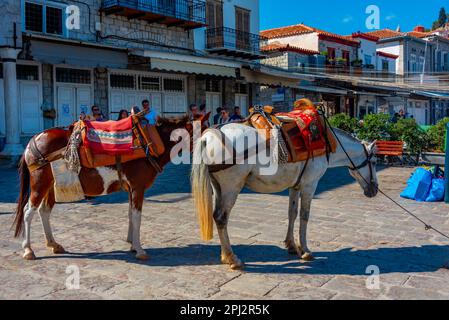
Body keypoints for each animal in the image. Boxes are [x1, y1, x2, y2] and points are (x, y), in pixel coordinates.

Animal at [13, 114, 209, 262]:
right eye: (205, 133)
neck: (149, 143)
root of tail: (32, 141)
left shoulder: (132, 189)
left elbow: (131, 215)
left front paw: (132, 244)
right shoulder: (138, 187)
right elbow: (137, 217)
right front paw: (139, 249)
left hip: (53, 186)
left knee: (44, 211)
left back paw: (53, 244)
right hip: (39, 183)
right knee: (28, 212)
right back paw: (28, 250)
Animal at [190, 122, 378, 270]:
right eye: (375, 162)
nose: (375, 189)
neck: (325, 142)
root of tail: (209, 136)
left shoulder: (295, 186)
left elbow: (292, 213)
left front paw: (292, 245)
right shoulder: (310, 185)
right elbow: (304, 216)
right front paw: (305, 250)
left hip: (218, 188)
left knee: (218, 218)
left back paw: (225, 255)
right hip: (231, 188)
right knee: (221, 218)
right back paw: (232, 258)